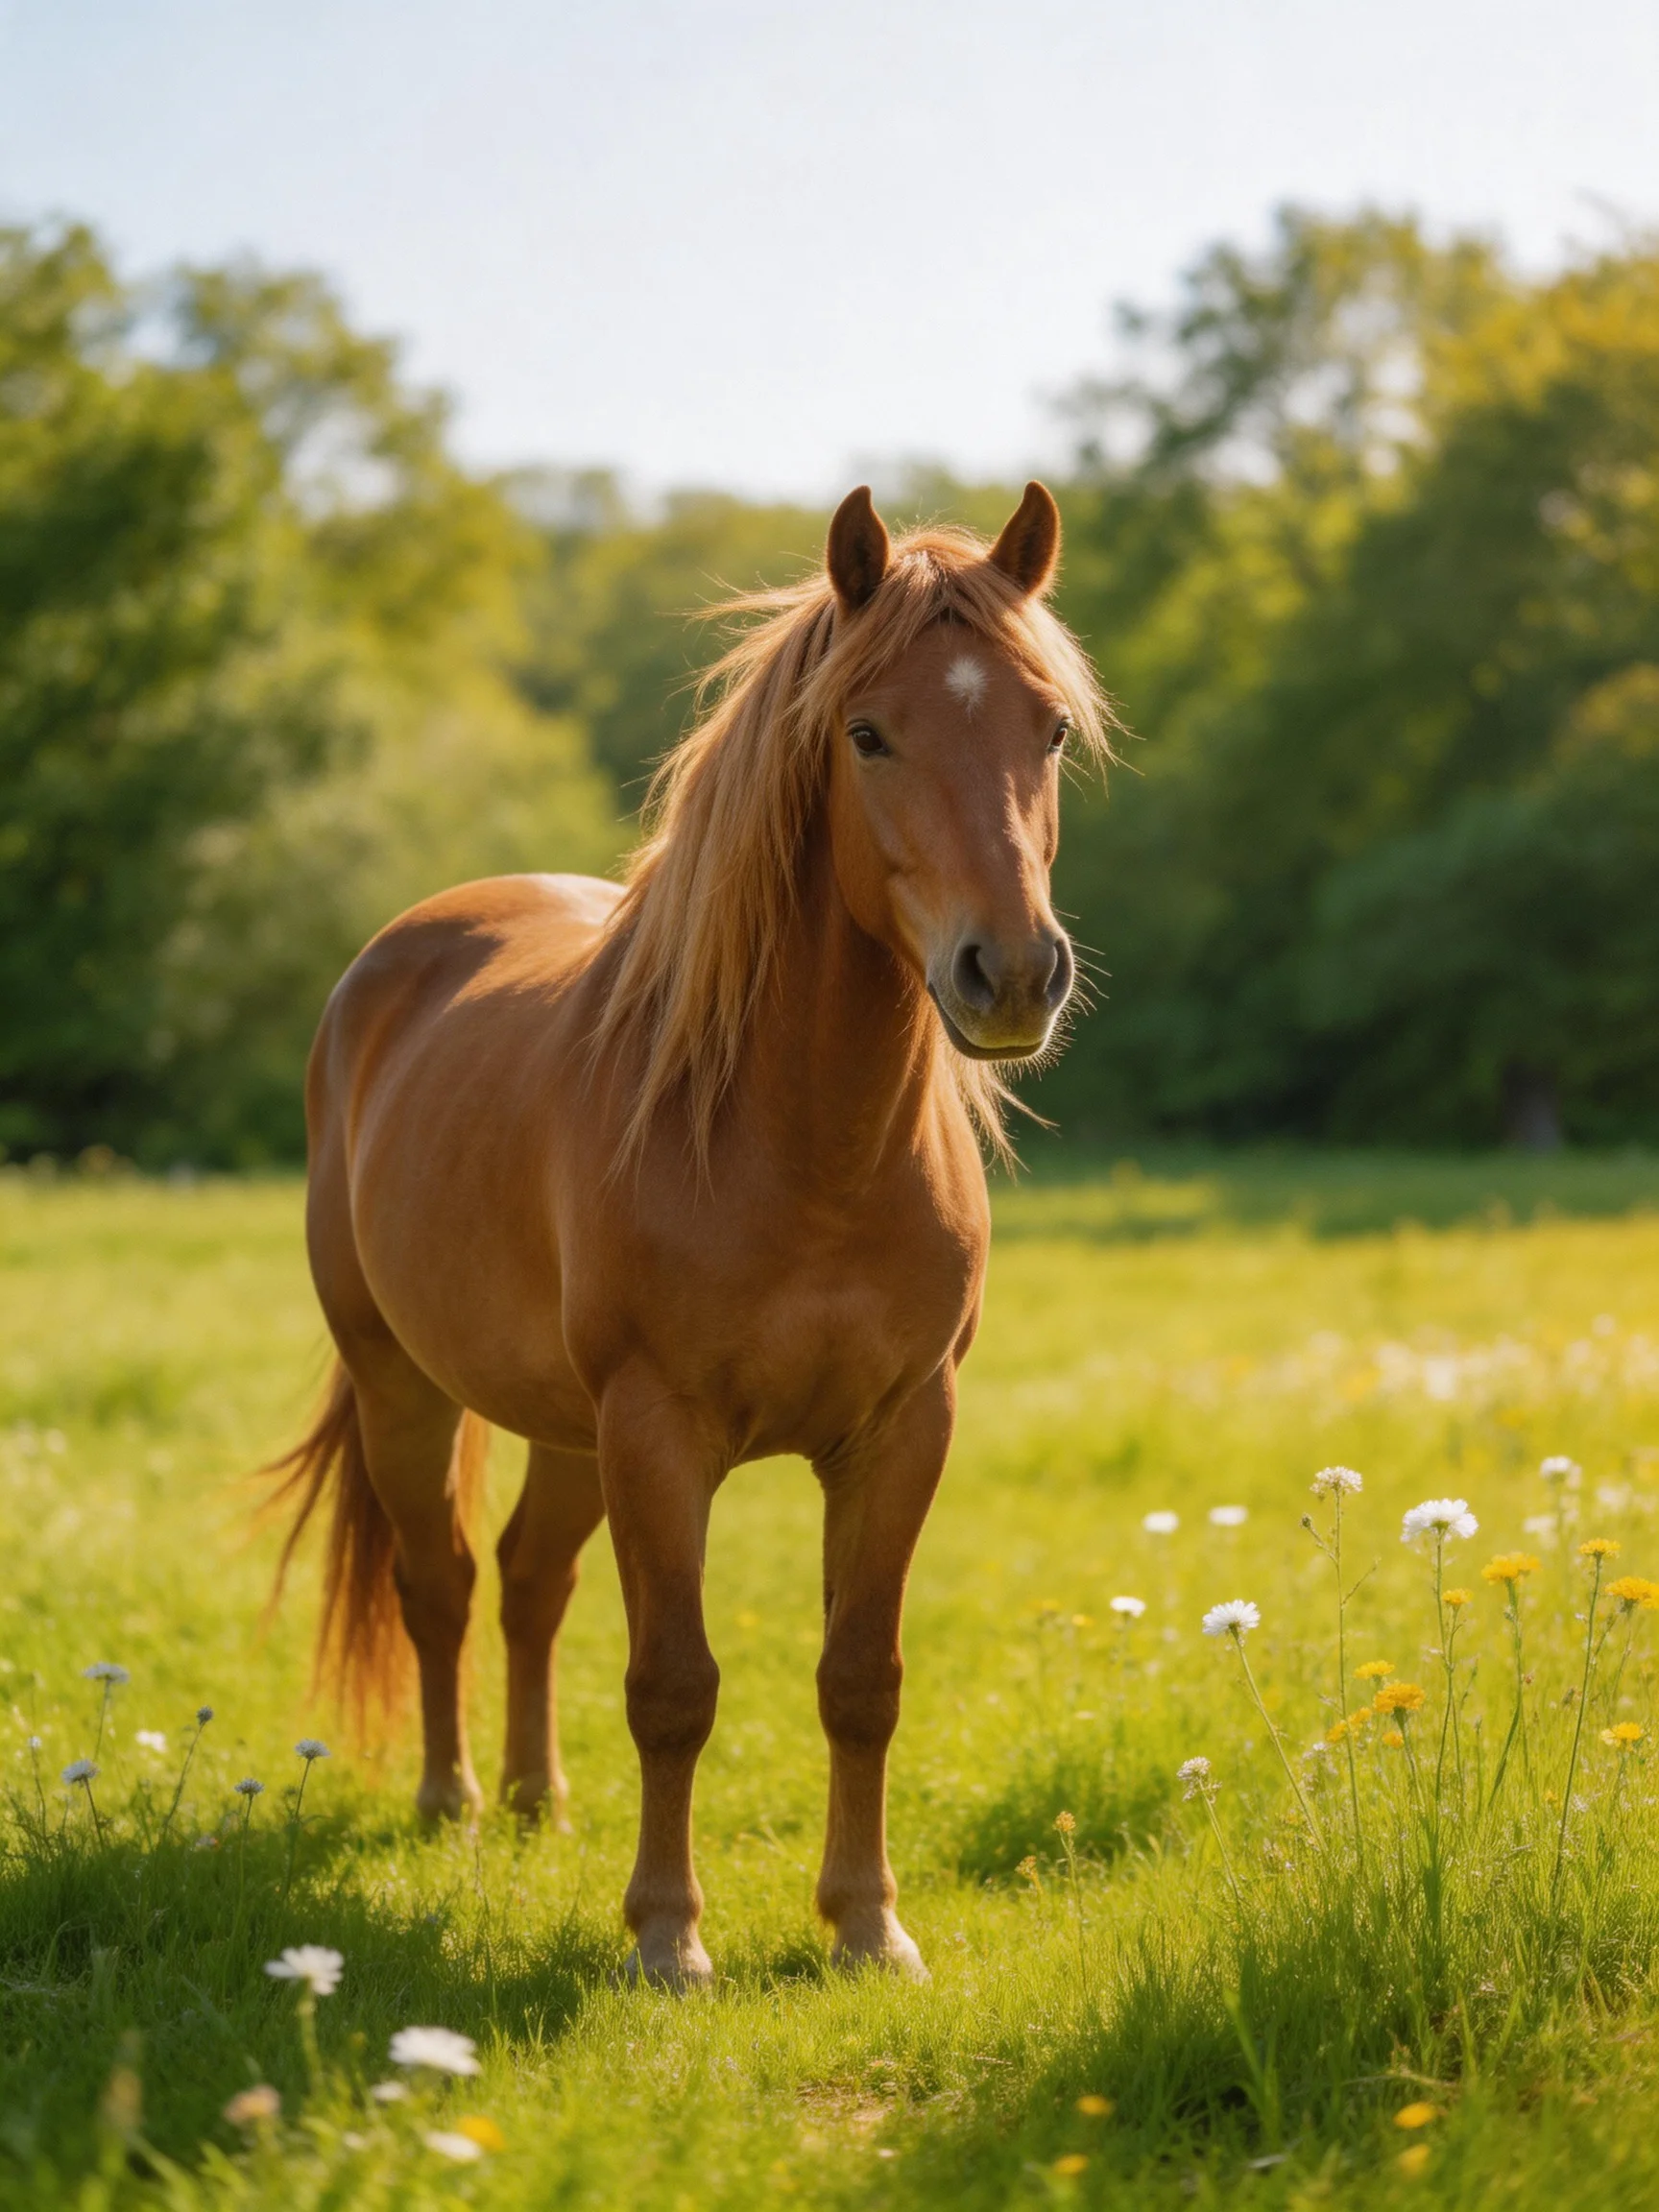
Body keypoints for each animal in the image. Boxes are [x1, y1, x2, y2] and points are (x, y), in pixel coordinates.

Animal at [272, 480, 1110, 1985]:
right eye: (867, 732)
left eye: (1051, 728)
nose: (1011, 974)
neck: (802, 1150)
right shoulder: (658, 1431)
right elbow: (674, 1685)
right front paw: (667, 1940)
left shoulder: (904, 1428)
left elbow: (860, 1679)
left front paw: (867, 1926)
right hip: (405, 1385)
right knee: (441, 1585)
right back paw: (453, 1803)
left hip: (563, 1427)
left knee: (530, 1582)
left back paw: (539, 1800)